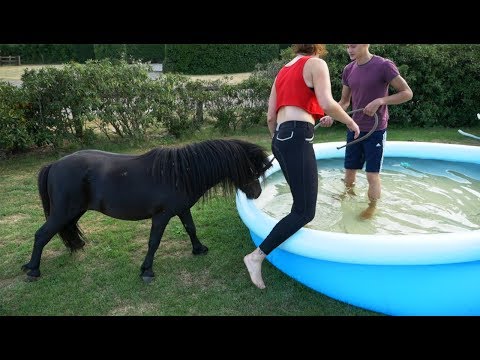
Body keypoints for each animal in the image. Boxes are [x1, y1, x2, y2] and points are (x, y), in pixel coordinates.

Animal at [22, 139, 272, 282]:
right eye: (251, 169)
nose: (257, 193)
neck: (181, 173)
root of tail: (54, 164)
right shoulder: (161, 216)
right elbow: (154, 242)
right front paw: (147, 271)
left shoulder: (182, 210)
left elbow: (190, 228)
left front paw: (199, 249)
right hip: (63, 211)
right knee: (42, 234)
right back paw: (33, 270)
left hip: (74, 211)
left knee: (65, 229)